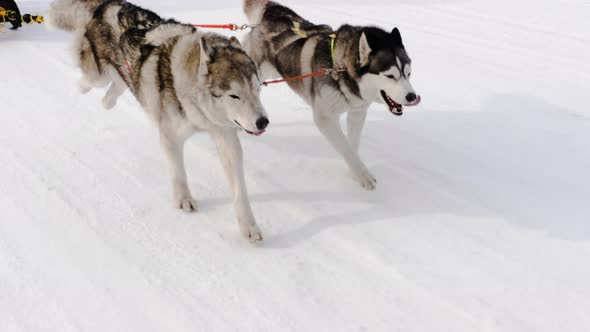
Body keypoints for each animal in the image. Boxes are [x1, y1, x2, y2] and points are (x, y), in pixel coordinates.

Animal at [47, 1, 270, 243]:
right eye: (234, 96)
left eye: (258, 90)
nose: (263, 122)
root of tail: (109, 4)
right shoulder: (171, 138)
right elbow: (178, 173)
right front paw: (183, 199)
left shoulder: (225, 136)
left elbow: (240, 190)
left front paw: (249, 226)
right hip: (98, 76)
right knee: (88, 81)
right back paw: (81, 88)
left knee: (113, 91)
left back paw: (111, 97)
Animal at [244, 0, 420, 191]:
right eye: (390, 76)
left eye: (408, 74)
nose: (412, 97)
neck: (341, 70)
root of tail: (272, 10)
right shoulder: (325, 118)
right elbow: (345, 146)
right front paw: (363, 175)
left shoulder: (357, 112)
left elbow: (352, 145)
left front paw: (354, 171)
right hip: (255, 73)